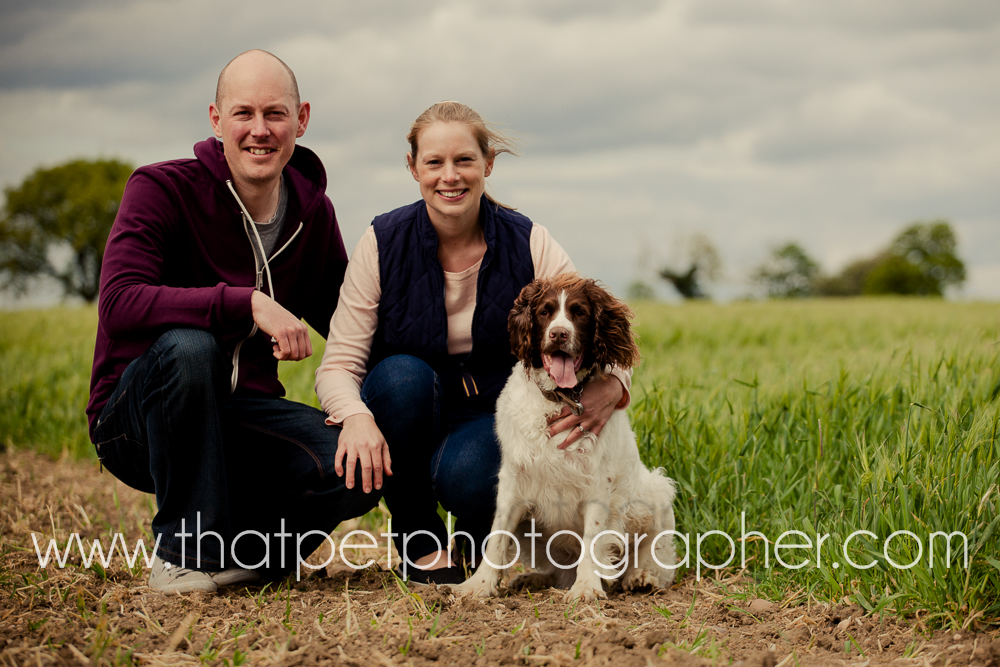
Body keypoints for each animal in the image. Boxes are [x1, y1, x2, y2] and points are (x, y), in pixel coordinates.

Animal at [454, 274, 676, 602]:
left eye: (579, 312)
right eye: (544, 312)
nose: (559, 334)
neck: (560, 398)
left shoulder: (597, 484)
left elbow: (592, 541)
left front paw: (586, 588)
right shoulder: (514, 481)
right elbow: (497, 536)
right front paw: (478, 585)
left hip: (656, 491)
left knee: (656, 557)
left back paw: (641, 577)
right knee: (559, 573)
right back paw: (532, 579)